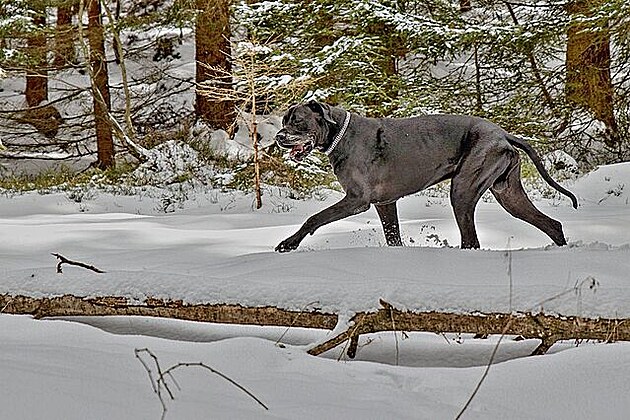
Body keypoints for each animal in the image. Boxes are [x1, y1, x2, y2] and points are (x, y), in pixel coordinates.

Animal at [274, 101, 580, 253]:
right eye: (283, 121)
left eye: (297, 121)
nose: (278, 137)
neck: (341, 134)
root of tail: (503, 133)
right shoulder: (385, 203)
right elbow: (393, 236)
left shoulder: (357, 200)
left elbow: (314, 218)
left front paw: (289, 243)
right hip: (509, 194)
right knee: (552, 224)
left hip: (463, 190)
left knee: (472, 240)